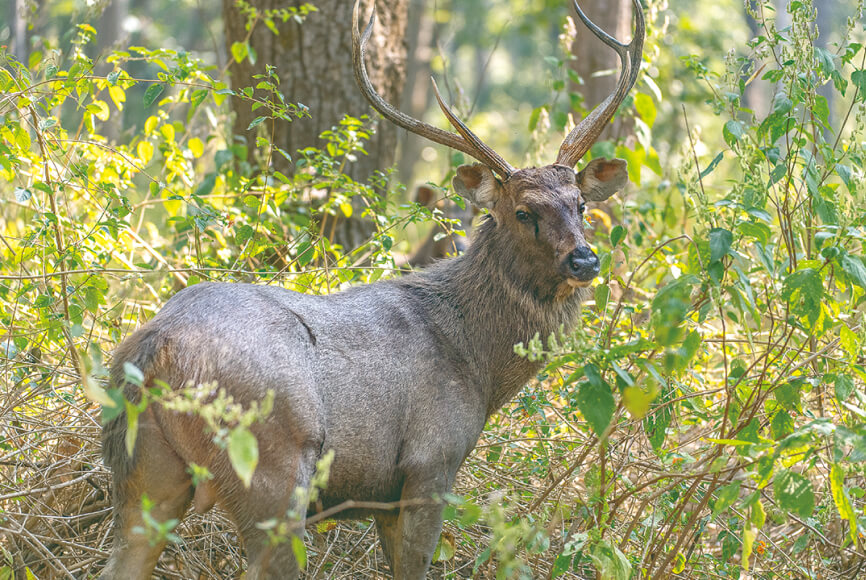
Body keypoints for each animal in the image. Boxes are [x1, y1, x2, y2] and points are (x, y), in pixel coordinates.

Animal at [99, 2, 640, 576]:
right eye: (522, 211)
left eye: (580, 204)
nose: (585, 258)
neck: (478, 363)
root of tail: (154, 348)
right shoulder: (430, 464)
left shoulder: (382, 498)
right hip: (274, 464)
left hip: (147, 474)